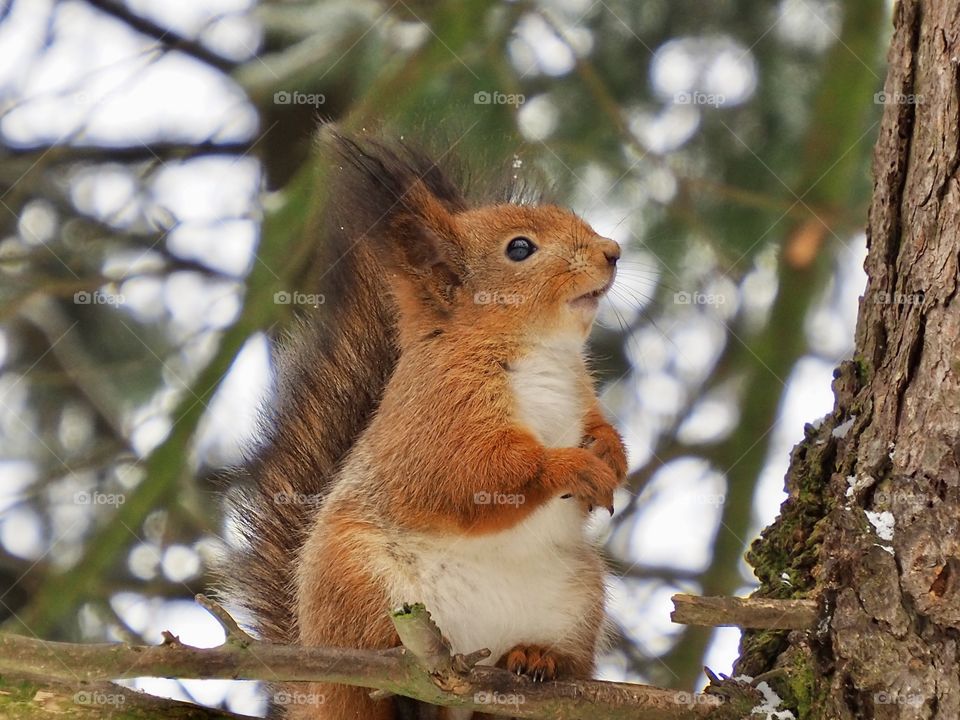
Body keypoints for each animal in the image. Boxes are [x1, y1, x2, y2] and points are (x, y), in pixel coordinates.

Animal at [222, 129, 628, 720]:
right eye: (520, 249)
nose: (612, 251)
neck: (537, 350)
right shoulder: (438, 412)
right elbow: (470, 474)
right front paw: (571, 466)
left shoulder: (582, 395)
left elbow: (597, 425)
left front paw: (612, 454)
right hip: (358, 580)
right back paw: (393, 675)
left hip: (578, 600)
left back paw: (536, 658)